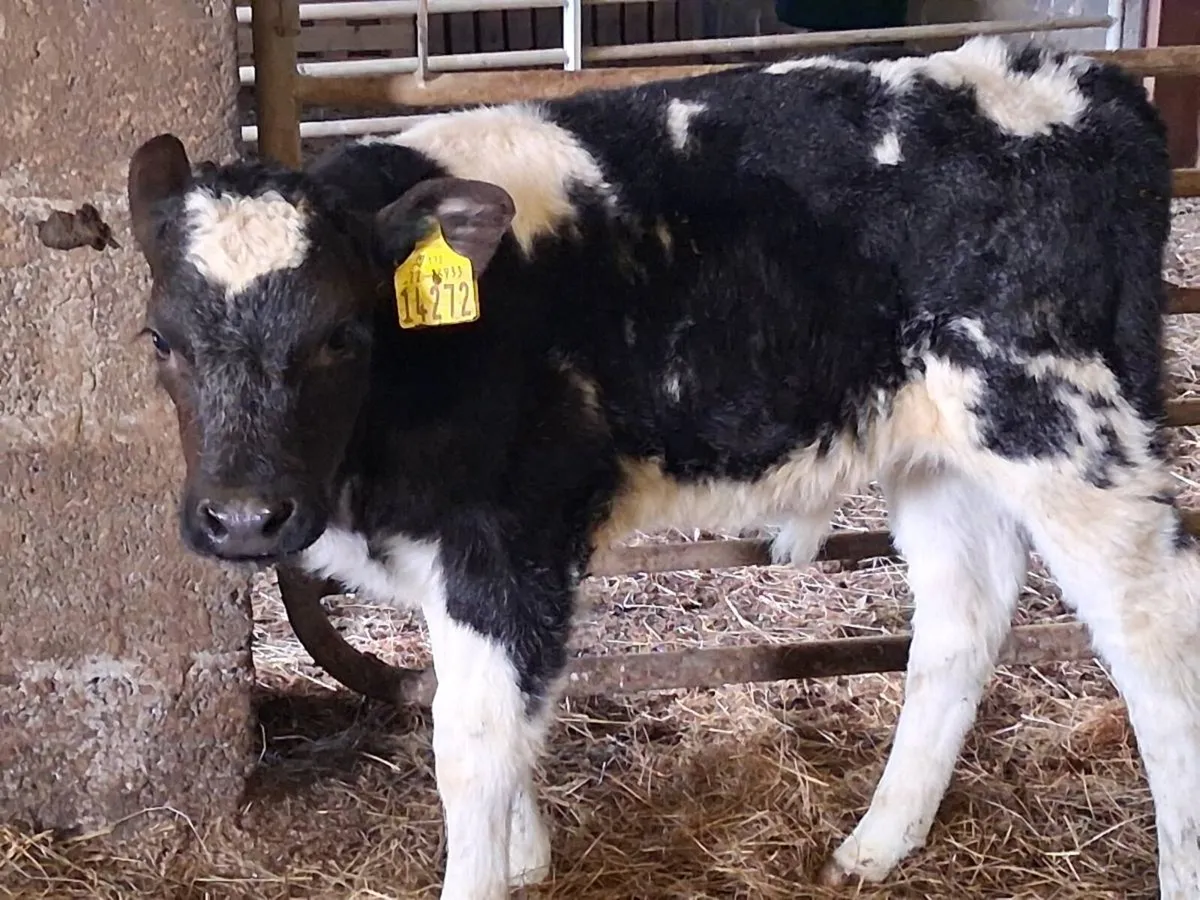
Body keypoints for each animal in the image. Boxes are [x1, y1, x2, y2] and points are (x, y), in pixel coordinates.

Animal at [125, 35, 1200, 899]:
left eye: (343, 336)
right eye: (161, 340)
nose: (243, 518)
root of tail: (1084, 81)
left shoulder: (510, 538)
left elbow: (471, 749)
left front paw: (491, 865)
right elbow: (506, 716)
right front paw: (527, 855)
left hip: (1070, 425)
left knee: (1158, 638)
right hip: (943, 452)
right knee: (960, 623)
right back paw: (875, 845)